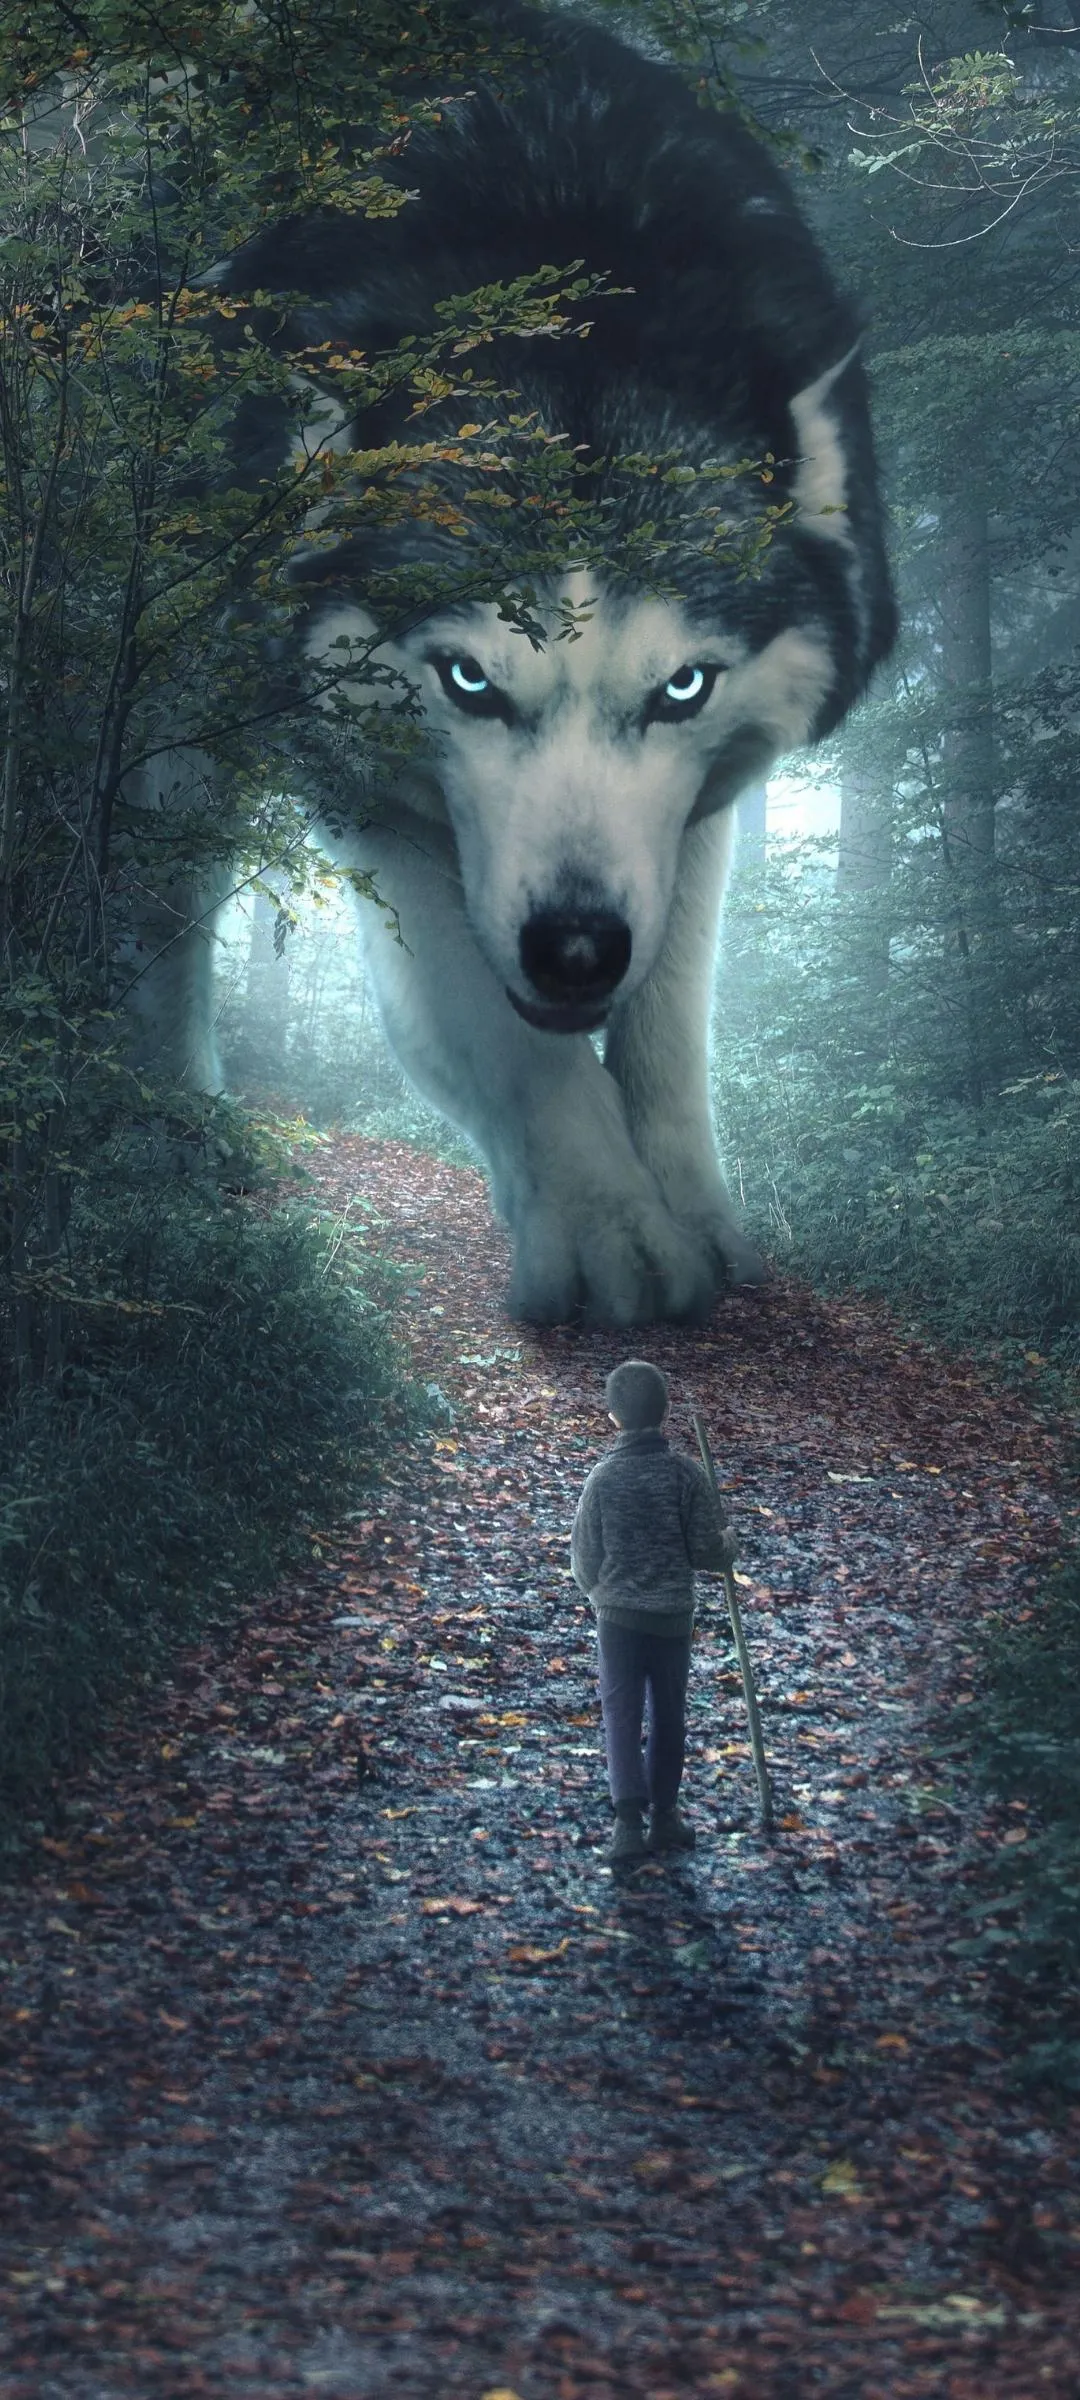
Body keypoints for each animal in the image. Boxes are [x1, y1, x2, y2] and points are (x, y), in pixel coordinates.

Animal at [130, 3, 896, 1325]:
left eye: (682, 687)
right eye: (469, 682)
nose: (575, 948)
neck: (566, 240)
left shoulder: (698, 814)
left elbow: (667, 1027)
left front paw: (696, 1221)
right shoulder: (367, 791)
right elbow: (503, 1039)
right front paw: (607, 1234)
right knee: (169, 907)